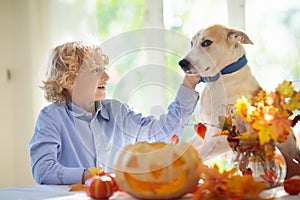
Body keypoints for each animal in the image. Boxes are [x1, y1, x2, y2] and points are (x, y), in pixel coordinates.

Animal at [179, 23, 298, 162]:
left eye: (206, 42)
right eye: (191, 43)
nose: (182, 63)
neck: (220, 79)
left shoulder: (222, 137)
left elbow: (197, 156)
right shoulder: (202, 133)